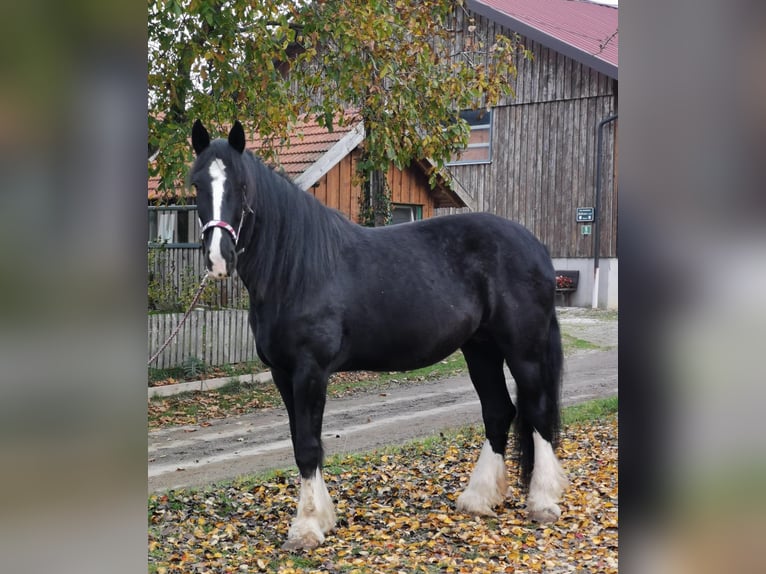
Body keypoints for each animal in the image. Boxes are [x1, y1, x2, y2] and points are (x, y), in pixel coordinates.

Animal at [188, 120, 568, 551]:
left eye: (241, 184)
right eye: (197, 184)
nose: (219, 259)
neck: (297, 268)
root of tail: (535, 246)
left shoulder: (310, 371)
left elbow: (309, 446)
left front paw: (307, 527)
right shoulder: (283, 374)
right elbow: (301, 441)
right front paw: (322, 517)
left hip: (524, 350)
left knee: (536, 410)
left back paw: (542, 503)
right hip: (481, 349)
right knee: (498, 411)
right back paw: (478, 499)